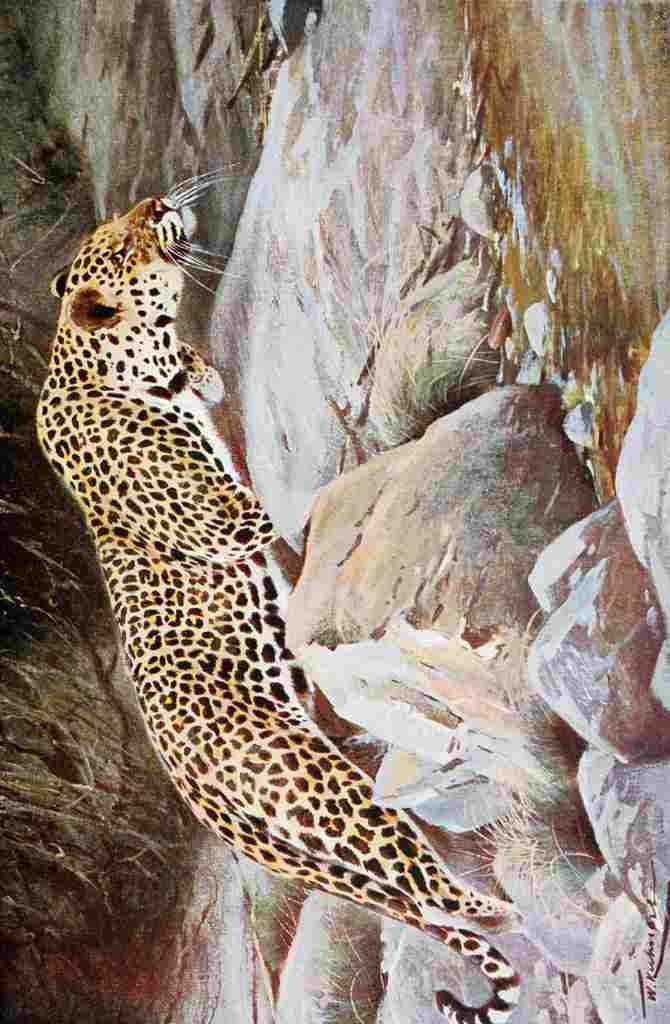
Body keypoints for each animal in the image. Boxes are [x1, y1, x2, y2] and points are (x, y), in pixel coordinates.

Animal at [36, 176, 522, 1024]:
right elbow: (294, 501)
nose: (157, 202)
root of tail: (200, 798)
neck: (104, 357)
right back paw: (498, 906)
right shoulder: (232, 518)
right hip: (326, 795)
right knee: (421, 885)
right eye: (124, 244)